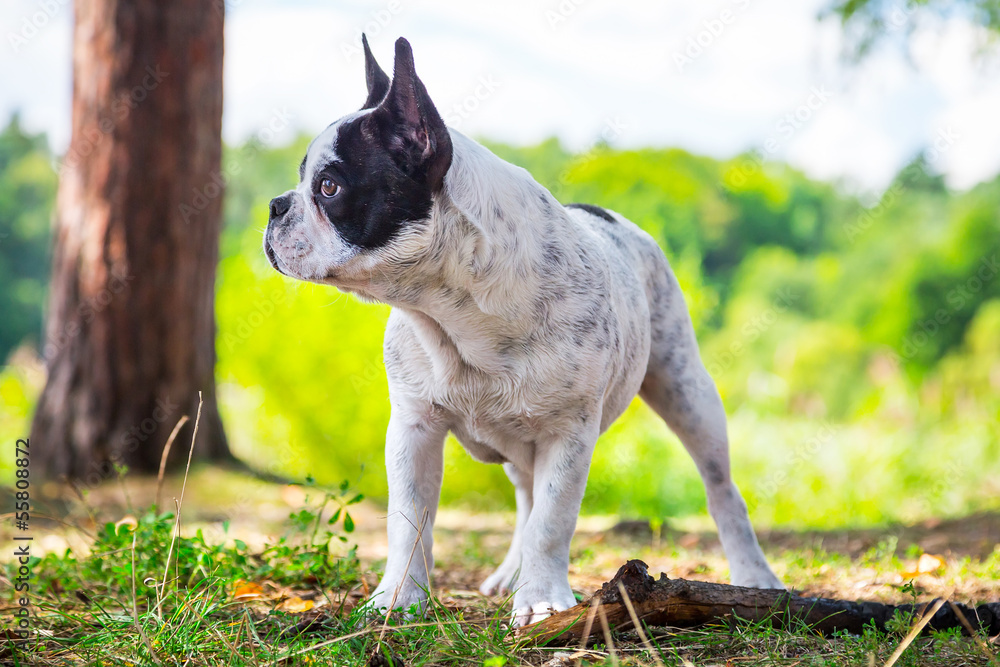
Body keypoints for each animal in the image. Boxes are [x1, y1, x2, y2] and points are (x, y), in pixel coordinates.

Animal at [264, 35, 780, 628]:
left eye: (329, 187)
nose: (275, 205)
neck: (451, 312)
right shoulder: (414, 428)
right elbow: (409, 519)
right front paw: (399, 598)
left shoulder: (567, 435)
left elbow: (553, 522)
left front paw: (540, 601)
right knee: (526, 498)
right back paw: (508, 574)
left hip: (687, 392)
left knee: (720, 489)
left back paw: (754, 575)